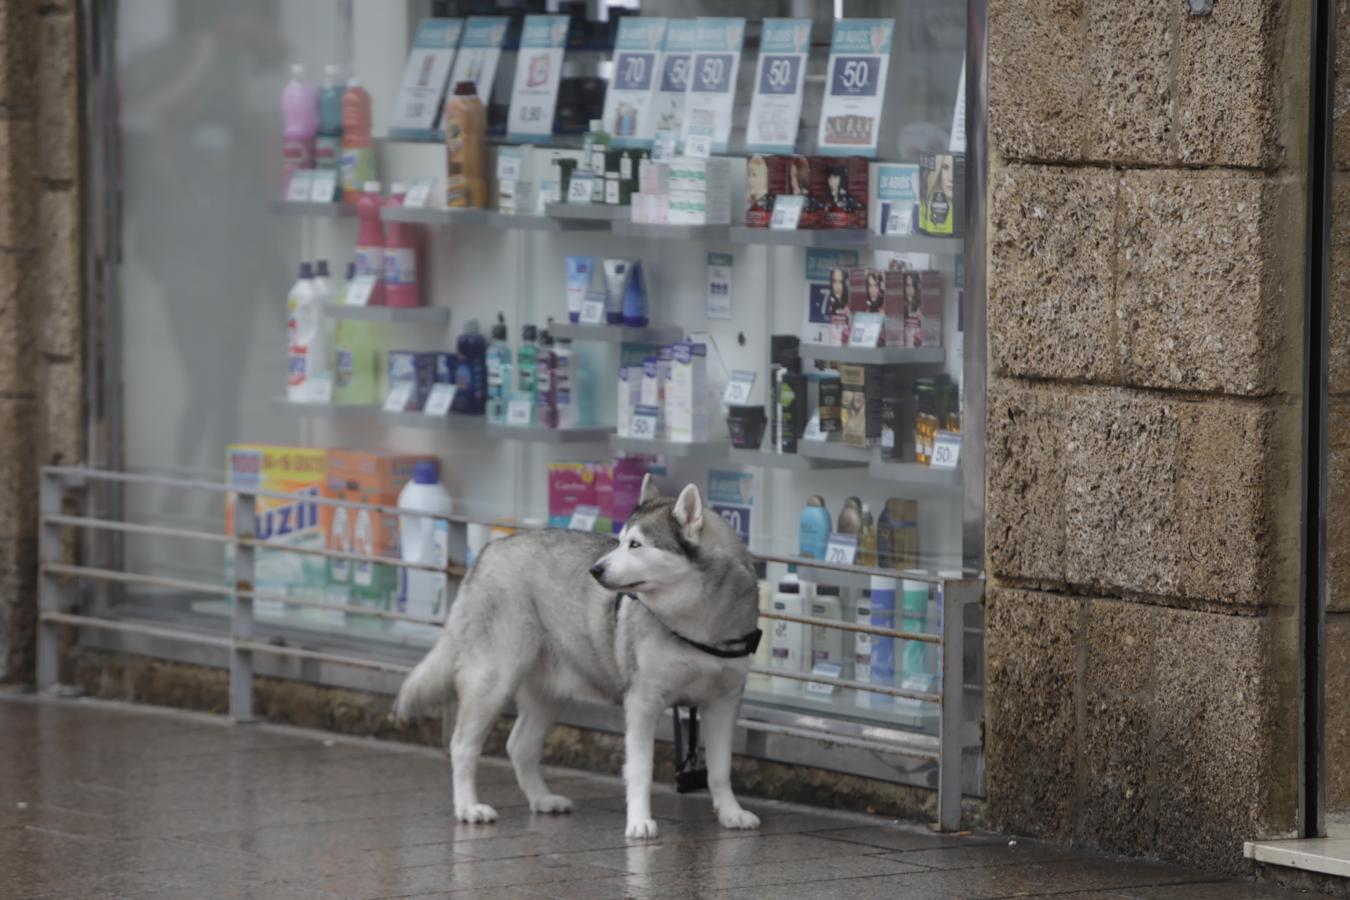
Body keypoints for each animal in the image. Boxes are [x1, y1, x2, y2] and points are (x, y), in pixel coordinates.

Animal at [394, 474, 766, 841]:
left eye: (635, 545)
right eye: (619, 541)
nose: (595, 570)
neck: (697, 623)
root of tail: (491, 549)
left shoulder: (724, 702)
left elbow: (720, 768)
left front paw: (731, 813)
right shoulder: (643, 702)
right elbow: (640, 769)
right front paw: (639, 821)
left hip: (549, 693)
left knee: (520, 746)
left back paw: (542, 799)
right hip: (493, 679)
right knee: (462, 746)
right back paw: (469, 807)